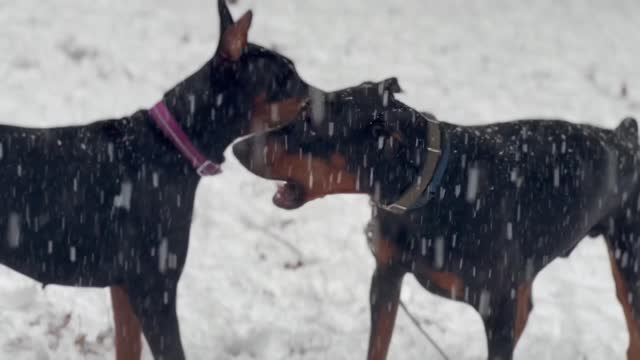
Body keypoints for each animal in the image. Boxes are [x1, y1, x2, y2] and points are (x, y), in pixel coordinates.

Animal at [232, 79, 640, 360]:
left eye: (312, 124)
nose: (237, 148)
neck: (436, 190)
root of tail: (625, 137)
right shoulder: (386, 277)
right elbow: (377, 344)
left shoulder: (497, 310)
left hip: (629, 265)